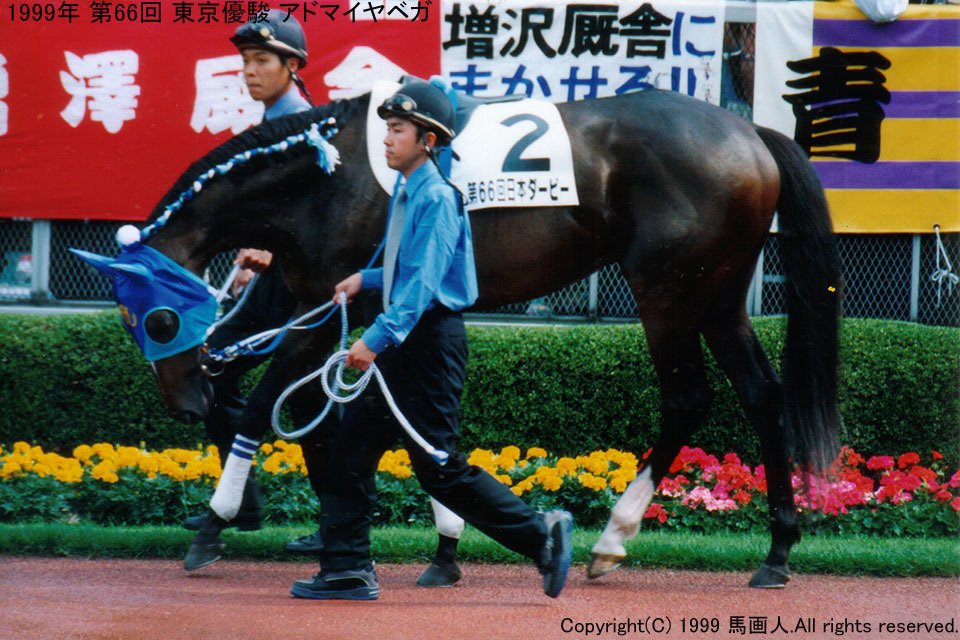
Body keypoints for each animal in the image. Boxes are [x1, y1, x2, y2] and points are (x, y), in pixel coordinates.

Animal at [79, 87, 841, 588]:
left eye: (156, 319)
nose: (184, 402)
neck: (324, 179)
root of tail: (752, 134)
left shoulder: (328, 307)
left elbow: (267, 405)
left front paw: (216, 519)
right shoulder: (339, 305)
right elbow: (402, 421)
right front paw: (444, 544)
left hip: (668, 291)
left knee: (687, 397)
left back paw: (611, 538)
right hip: (718, 293)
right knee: (762, 394)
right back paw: (777, 552)